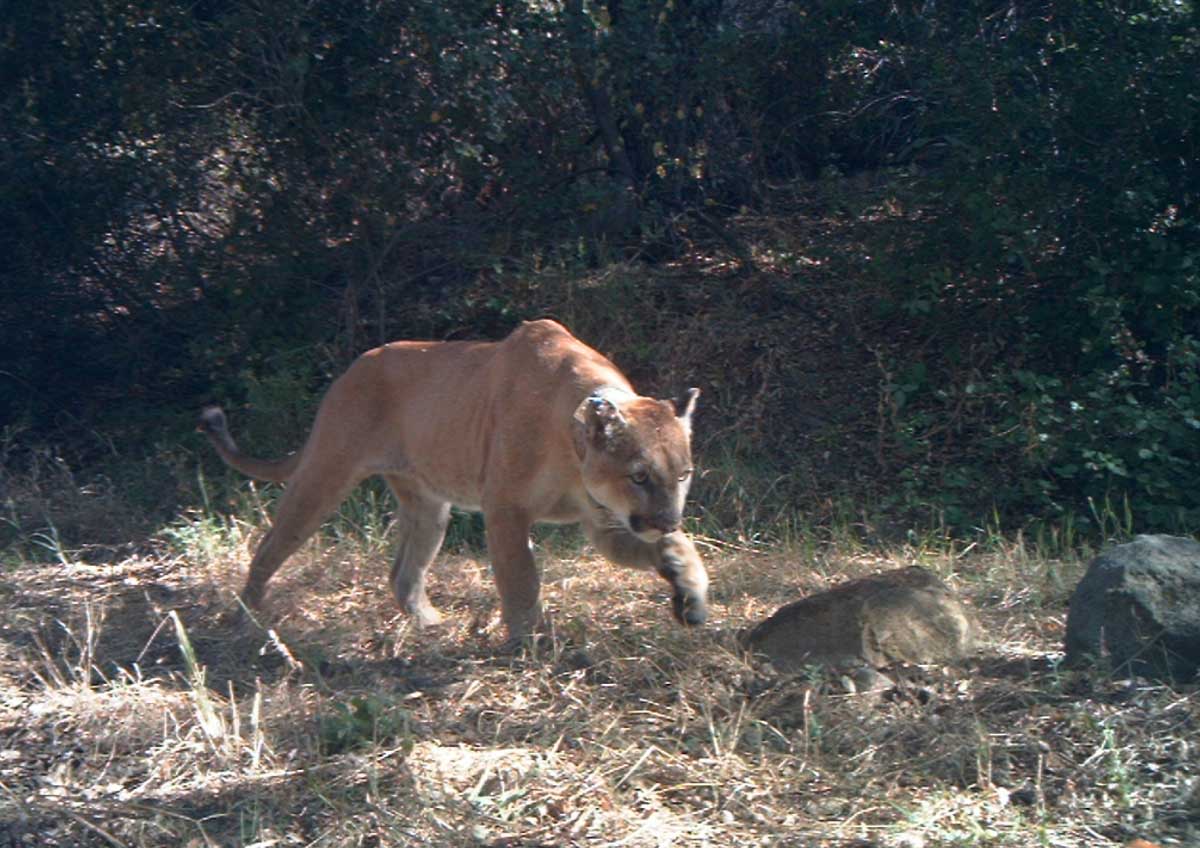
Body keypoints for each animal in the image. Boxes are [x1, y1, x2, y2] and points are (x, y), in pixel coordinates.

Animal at [199, 319, 708, 643]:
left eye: (683, 474)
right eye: (639, 476)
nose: (668, 519)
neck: (574, 445)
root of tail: (349, 370)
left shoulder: (604, 522)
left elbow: (668, 550)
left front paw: (688, 588)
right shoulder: (505, 509)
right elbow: (521, 579)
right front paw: (531, 643)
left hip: (429, 507)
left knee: (403, 573)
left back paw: (429, 624)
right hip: (324, 475)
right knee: (270, 547)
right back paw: (245, 619)